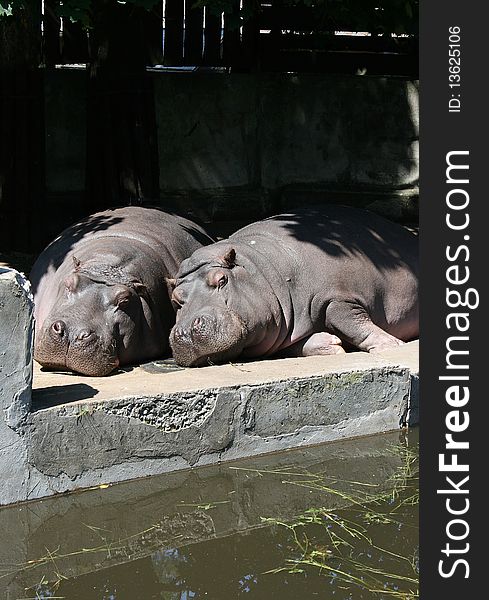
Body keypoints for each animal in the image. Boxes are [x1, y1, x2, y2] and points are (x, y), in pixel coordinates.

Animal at [168, 205, 416, 366]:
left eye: (221, 279)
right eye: (175, 299)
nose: (185, 330)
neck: (262, 269)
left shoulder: (338, 296)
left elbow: (348, 319)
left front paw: (392, 345)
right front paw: (332, 344)